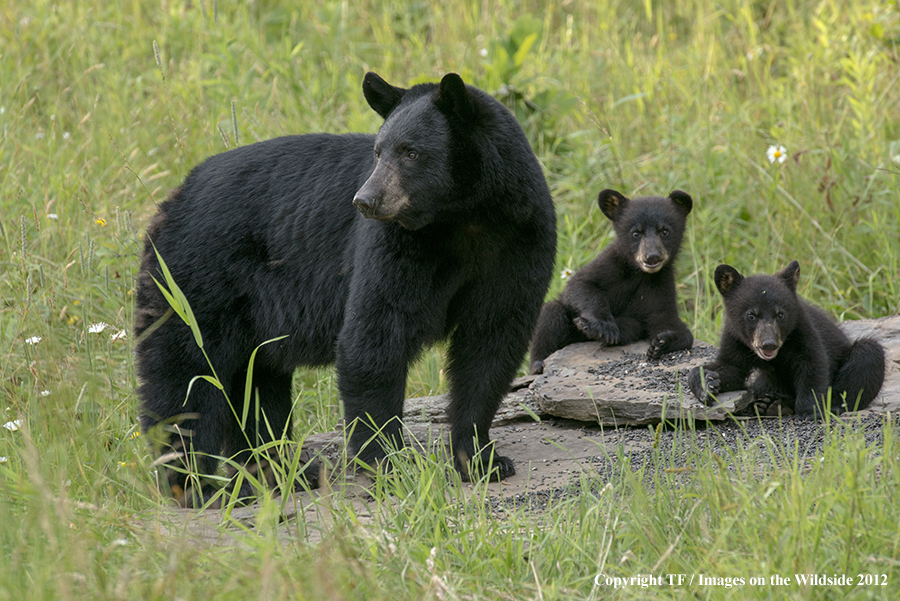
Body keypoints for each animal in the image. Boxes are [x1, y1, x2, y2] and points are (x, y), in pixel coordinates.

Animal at [135, 71, 556, 506]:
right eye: (377, 152)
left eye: (411, 152)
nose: (366, 200)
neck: (464, 219)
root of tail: (171, 199)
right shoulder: (396, 246)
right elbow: (374, 337)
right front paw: (387, 465)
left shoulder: (518, 243)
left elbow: (489, 346)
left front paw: (481, 459)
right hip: (195, 279)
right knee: (186, 376)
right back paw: (194, 484)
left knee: (256, 384)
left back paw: (280, 471)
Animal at [528, 190, 696, 372]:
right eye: (636, 233)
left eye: (664, 231)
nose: (652, 256)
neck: (639, 273)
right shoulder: (610, 264)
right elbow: (580, 285)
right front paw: (603, 325)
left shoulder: (659, 284)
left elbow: (667, 320)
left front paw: (662, 343)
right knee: (550, 314)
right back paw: (539, 362)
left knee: (632, 325)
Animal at [688, 260, 884, 414]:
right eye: (751, 315)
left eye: (780, 314)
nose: (768, 344)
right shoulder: (735, 339)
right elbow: (731, 368)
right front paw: (706, 382)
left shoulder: (801, 330)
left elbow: (813, 363)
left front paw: (809, 410)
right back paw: (769, 404)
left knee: (867, 354)